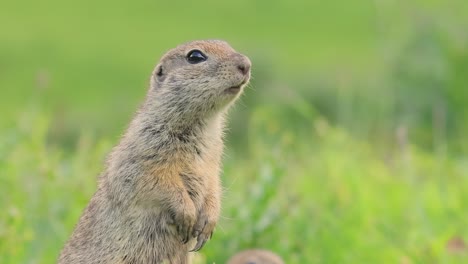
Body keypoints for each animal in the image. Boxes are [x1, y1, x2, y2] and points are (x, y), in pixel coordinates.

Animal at [59, 39, 252, 264]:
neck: (203, 126)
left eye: (226, 44)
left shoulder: (212, 164)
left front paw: (207, 225)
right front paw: (187, 214)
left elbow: (214, 188)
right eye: (195, 56)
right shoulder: (143, 153)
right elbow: (157, 182)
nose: (246, 64)